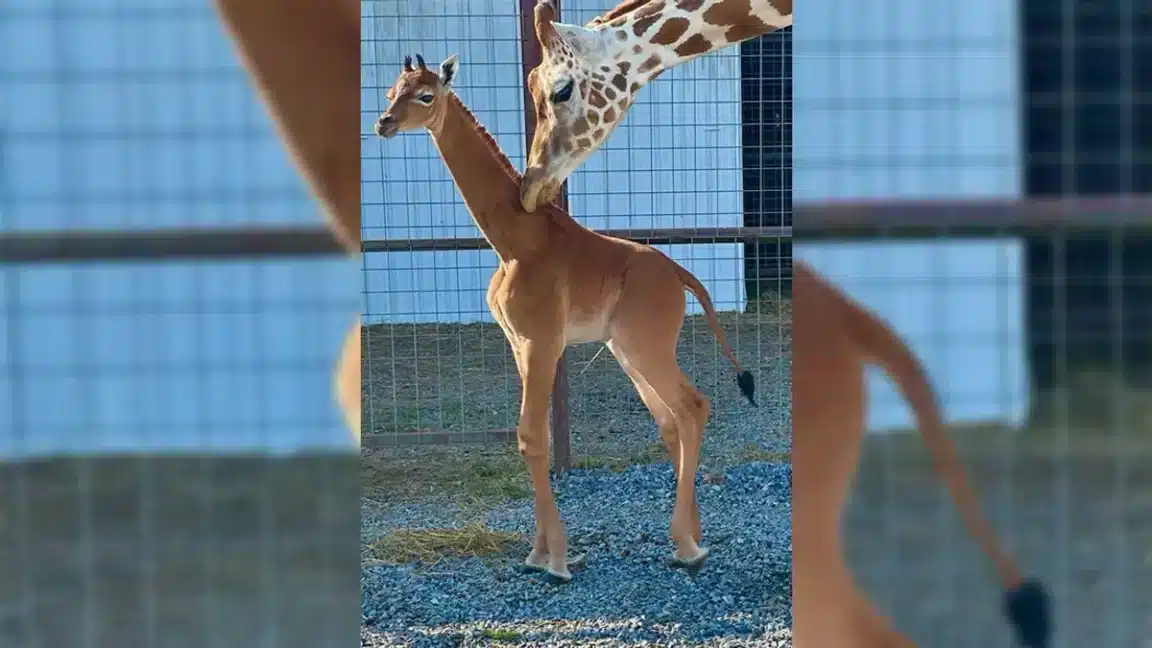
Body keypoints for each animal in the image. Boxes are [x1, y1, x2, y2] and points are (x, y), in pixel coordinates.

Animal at [375, 54, 757, 582]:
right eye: (392, 90)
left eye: (426, 95)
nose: (383, 123)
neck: (514, 242)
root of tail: (681, 275)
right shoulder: (519, 343)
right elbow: (532, 438)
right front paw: (538, 552)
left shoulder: (542, 342)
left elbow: (531, 437)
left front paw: (555, 558)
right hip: (626, 350)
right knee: (670, 418)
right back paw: (693, 536)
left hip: (646, 345)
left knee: (692, 406)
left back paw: (687, 545)